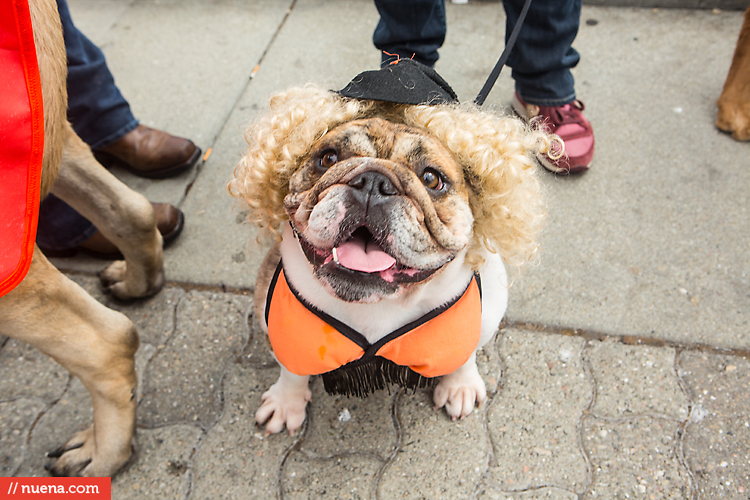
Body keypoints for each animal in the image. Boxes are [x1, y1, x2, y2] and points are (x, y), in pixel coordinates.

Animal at [232, 76, 556, 436]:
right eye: (328, 159)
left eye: (432, 179)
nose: (373, 181)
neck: (376, 305)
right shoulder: (279, 327)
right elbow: (292, 368)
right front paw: (286, 401)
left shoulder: (478, 320)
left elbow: (465, 353)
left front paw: (460, 385)